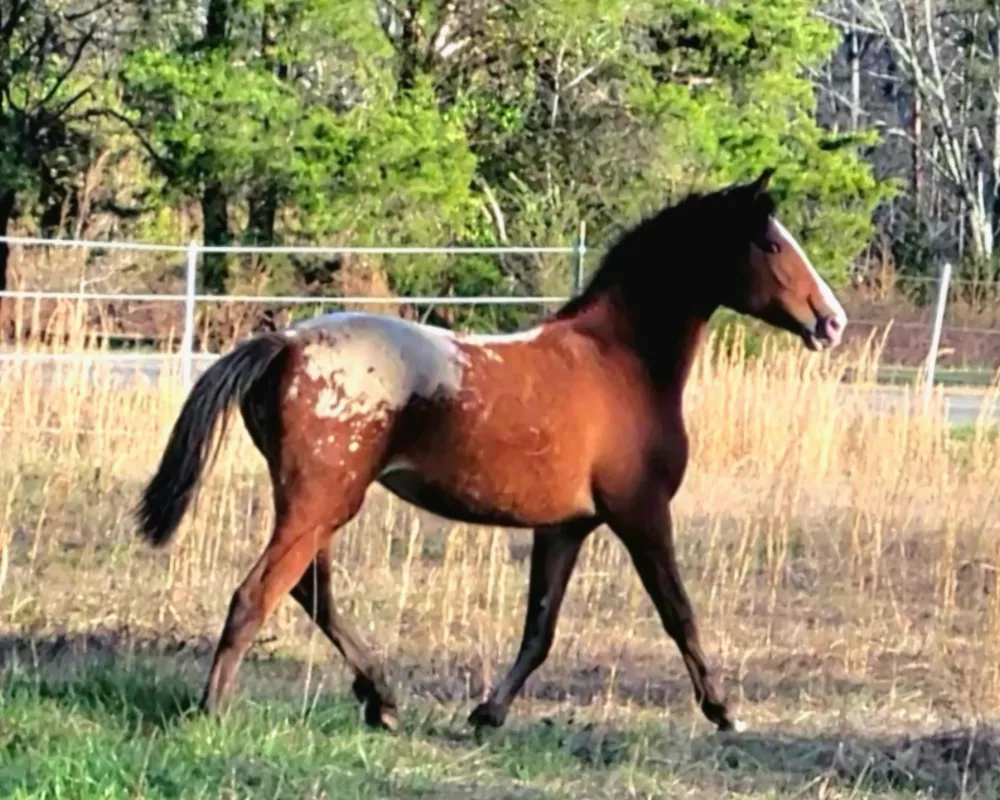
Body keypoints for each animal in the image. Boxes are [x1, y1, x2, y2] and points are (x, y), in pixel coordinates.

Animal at [137, 167, 848, 732]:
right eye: (770, 242)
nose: (832, 321)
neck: (618, 362)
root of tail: (283, 344)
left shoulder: (566, 527)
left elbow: (540, 628)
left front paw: (488, 712)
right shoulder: (641, 514)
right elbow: (679, 614)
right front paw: (724, 711)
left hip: (321, 506)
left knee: (314, 591)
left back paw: (381, 700)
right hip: (320, 502)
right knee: (257, 594)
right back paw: (214, 710)